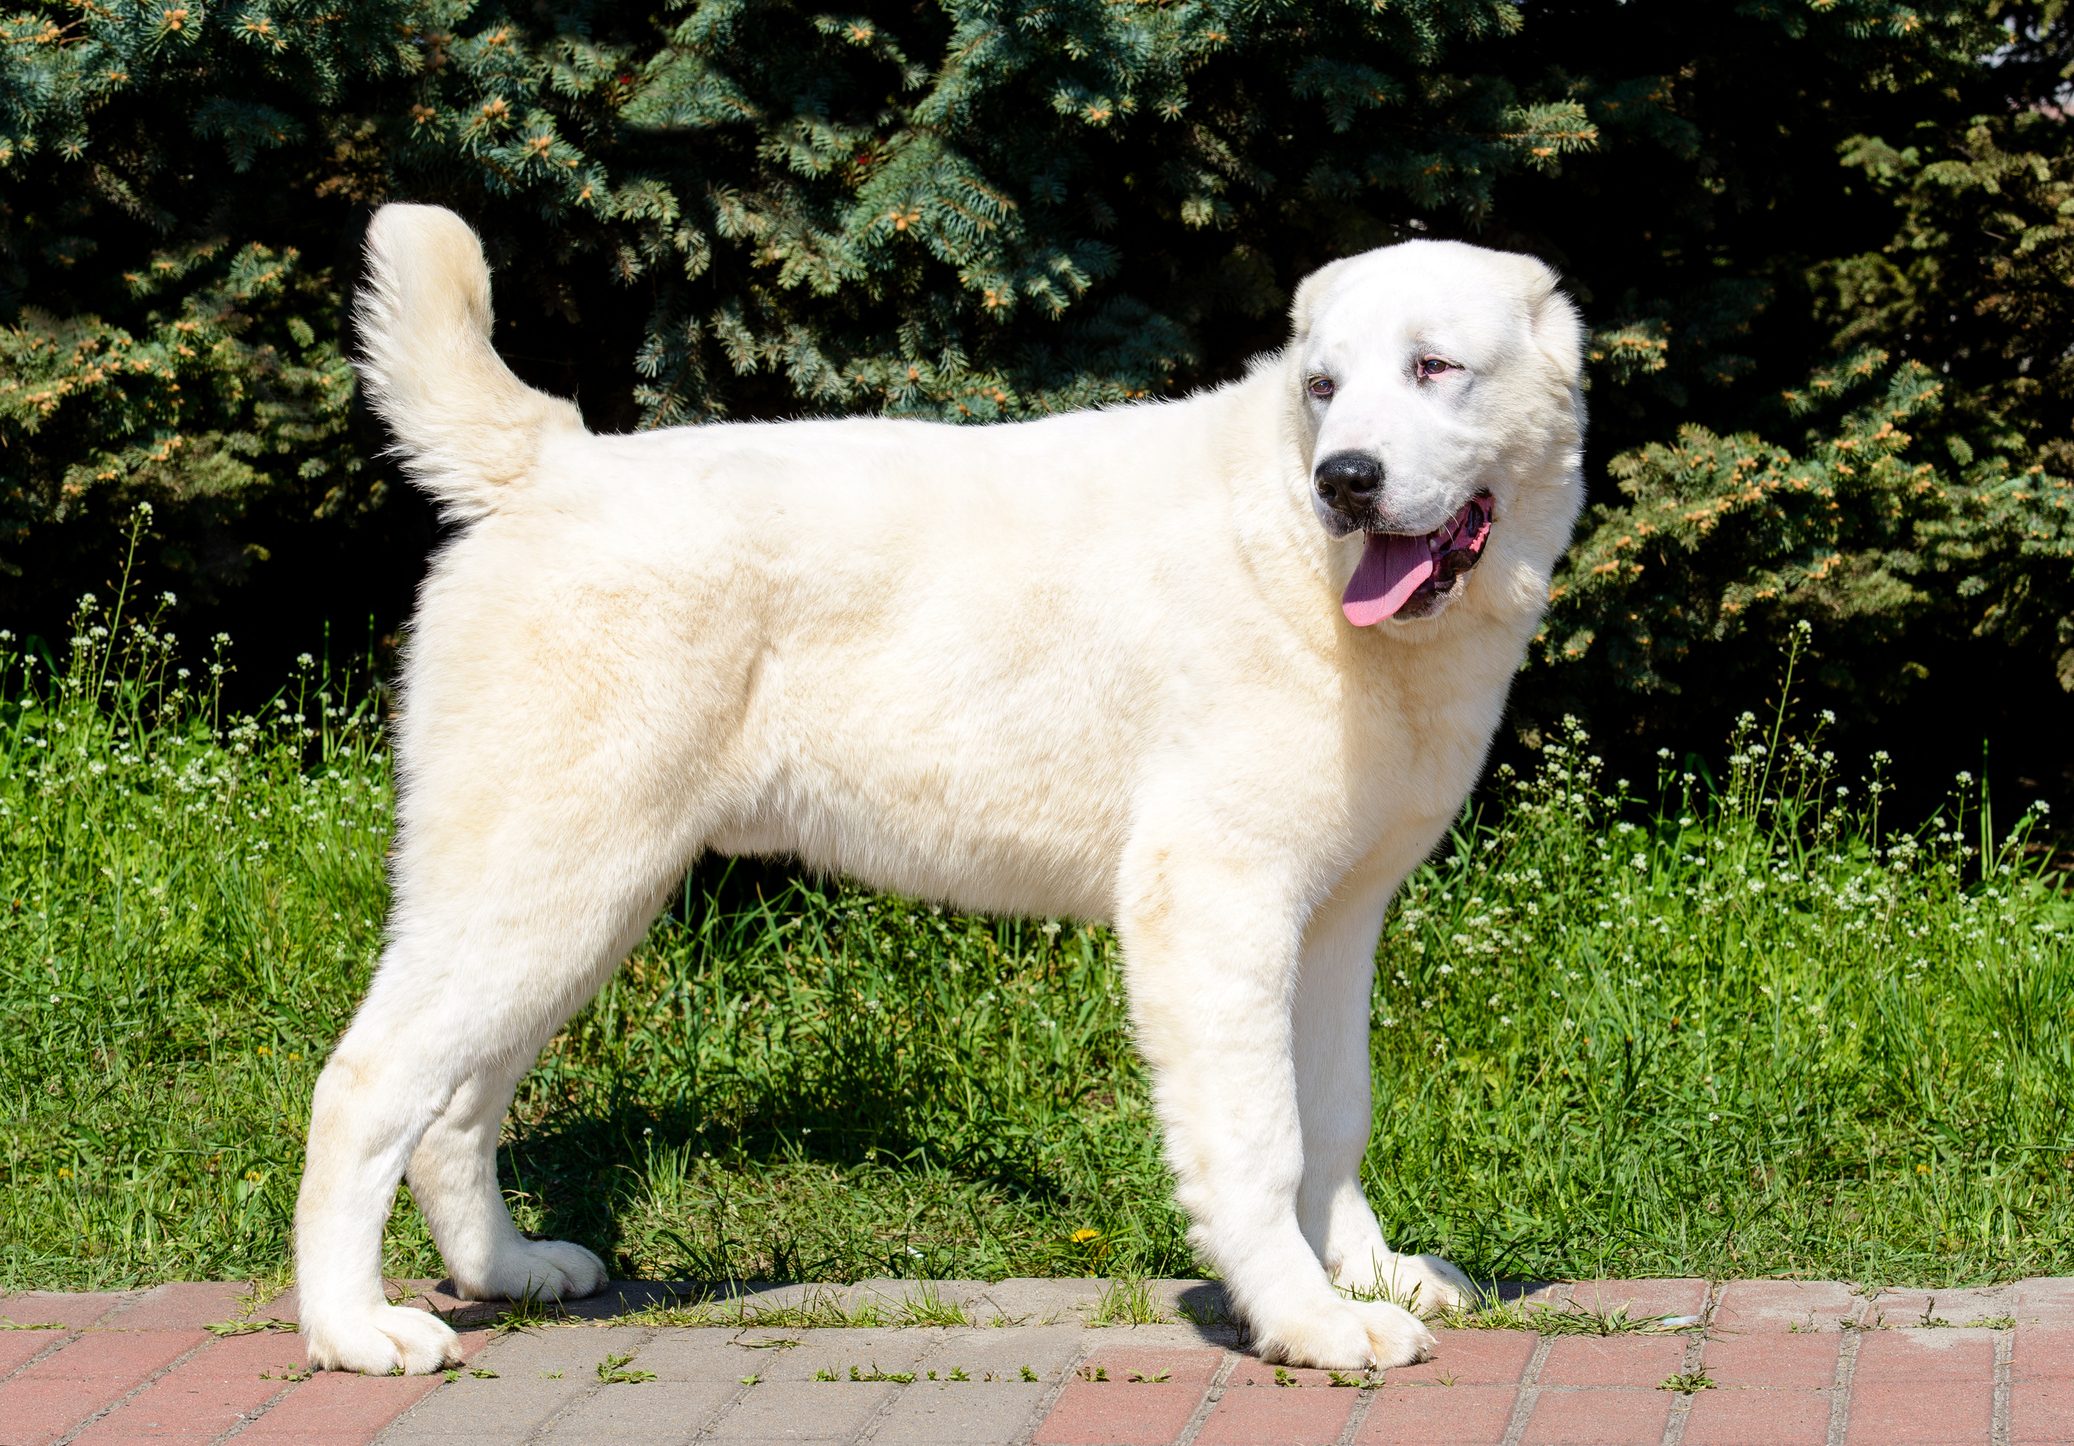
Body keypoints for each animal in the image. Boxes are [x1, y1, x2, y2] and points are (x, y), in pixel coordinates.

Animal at [296, 200, 1584, 1360]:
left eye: (1433, 369)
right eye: (1321, 387)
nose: (1346, 479)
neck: (1294, 546)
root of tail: (551, 459)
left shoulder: (1335, 917)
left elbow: (1334, 1117)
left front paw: (1369, 1272)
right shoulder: (1218, 901)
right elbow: (1262, 1140)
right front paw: (1307, 1320)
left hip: (588, 897)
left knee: (457, 1103)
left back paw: (506, 1270)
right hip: (544, 875)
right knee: (363, 1083)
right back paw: (354, 1329)